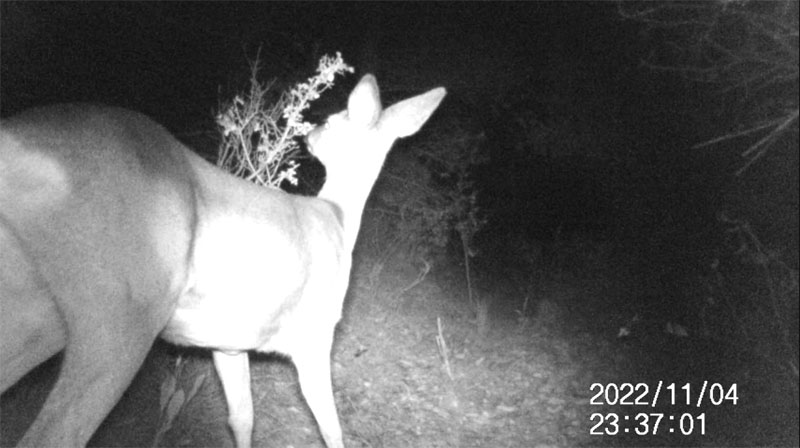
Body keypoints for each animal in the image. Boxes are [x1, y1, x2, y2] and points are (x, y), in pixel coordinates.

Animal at [0, 75, 446, 446]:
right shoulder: (314, 336)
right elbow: (330, 427)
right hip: (121, 310)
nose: (312, 133)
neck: (336, 216)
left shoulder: (230, 344)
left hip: (38, 308)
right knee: (55, 433)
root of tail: (13, 140)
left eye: (334, 121)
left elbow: (243, 418)